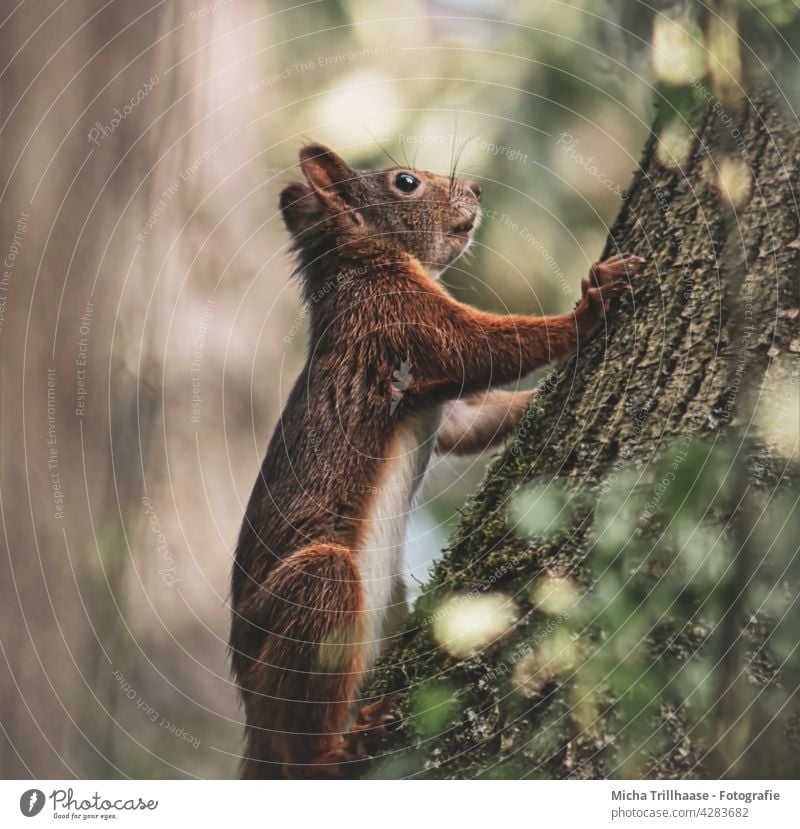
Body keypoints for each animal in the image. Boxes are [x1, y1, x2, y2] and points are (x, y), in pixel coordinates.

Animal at [230, 141, 644, 776]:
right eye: (406, 182)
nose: (476, 188)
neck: (362, 265)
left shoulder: (439, 402)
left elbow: (471, 423)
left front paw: (535, 402)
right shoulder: (396, 316)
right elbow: (483, 346)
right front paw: (589, 308)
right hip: (313, 591)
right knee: (300, 743)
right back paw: (343, 748)